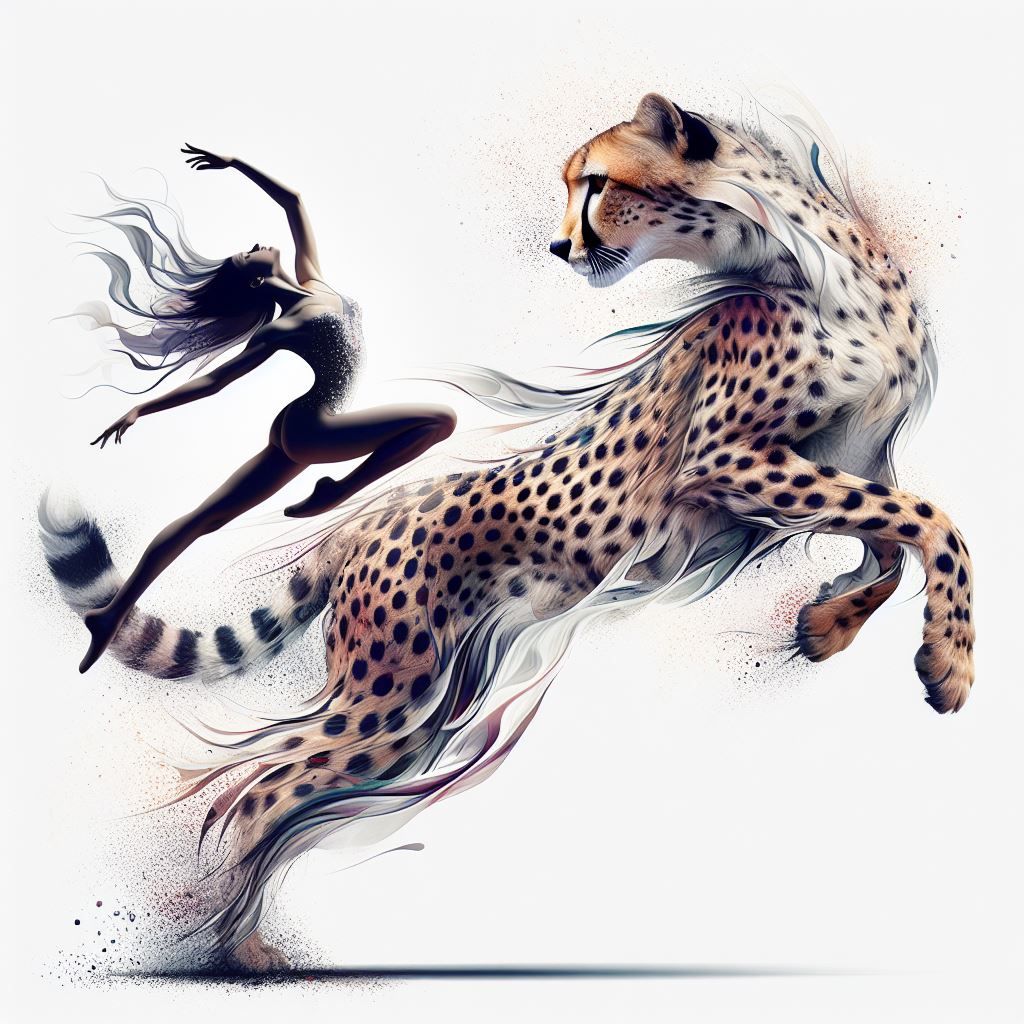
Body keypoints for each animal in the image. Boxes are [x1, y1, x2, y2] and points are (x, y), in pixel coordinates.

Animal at [40, 92, 973, 972]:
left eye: (596, 184)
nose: (560, 249)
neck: (818, 264)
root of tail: (359, 524)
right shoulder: (728, 459)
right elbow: (935, 523)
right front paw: (950, 665)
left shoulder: (844, 458)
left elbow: (894, 541)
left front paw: (833, 625)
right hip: (391, 693)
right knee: (262, 791)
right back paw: (240, 950)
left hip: (412, 705)